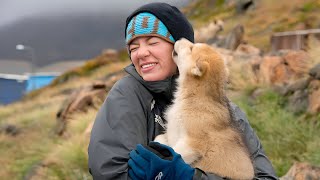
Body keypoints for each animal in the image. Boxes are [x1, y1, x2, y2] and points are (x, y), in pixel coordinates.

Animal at [155, 38, 255, 179]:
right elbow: (159, 138)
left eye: (191, 48)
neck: (195, 98)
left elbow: (175, 152)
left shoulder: (193, 143)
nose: (179, 39)